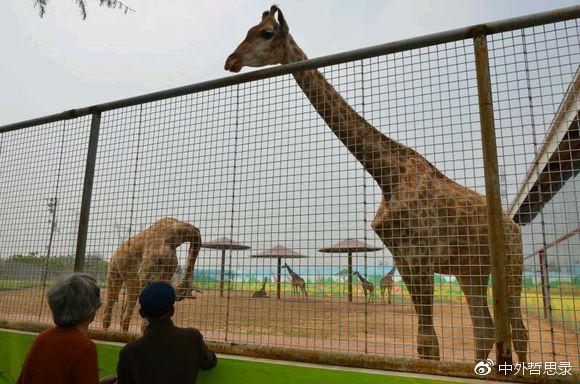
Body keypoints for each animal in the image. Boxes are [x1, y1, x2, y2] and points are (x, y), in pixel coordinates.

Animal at [223, 4, 532, 362]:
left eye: (265, 33)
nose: (230, 60)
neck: (387, 176)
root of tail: (513, 224)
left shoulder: (421, 256)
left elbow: (429, 343)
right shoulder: (403, 258)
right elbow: (426, 344)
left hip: (509, 261)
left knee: (518, 330)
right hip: (471, 269)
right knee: (484, 328)